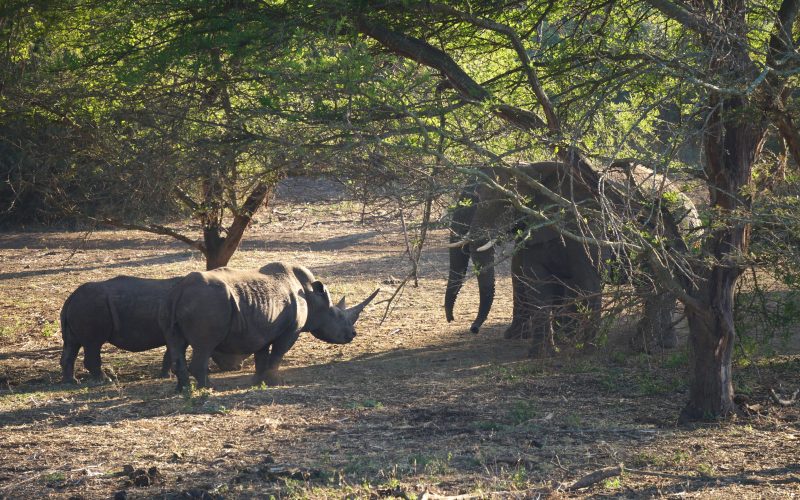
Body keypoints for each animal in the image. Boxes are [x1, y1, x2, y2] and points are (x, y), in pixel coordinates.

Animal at [444, 158, 700, 354]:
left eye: (507, 203)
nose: (471, 327)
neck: (534, 168)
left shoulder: (588, 223)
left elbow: (588, 280)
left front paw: (585, 349)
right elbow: (537, 282)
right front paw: (541, 353)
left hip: (676, 234)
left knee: (662, 284)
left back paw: (647, 346)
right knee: (652, 284)